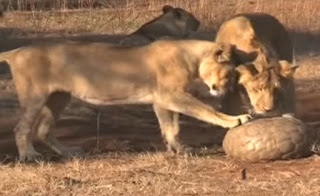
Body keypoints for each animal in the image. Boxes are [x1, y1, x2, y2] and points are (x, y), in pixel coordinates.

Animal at [0, 39, 250, 161]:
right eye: (229, 74)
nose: (227, 91)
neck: (193, 59)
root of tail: (16, 51)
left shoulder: (161, 101)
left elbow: (172, 127)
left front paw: (179, 149)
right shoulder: (171, 95)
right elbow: (205, 110)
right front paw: (234, 119)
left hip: (59, 98)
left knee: (42, 130)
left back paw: (69, 152)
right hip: (35, 97)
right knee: (22, 128)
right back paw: (29, 155)